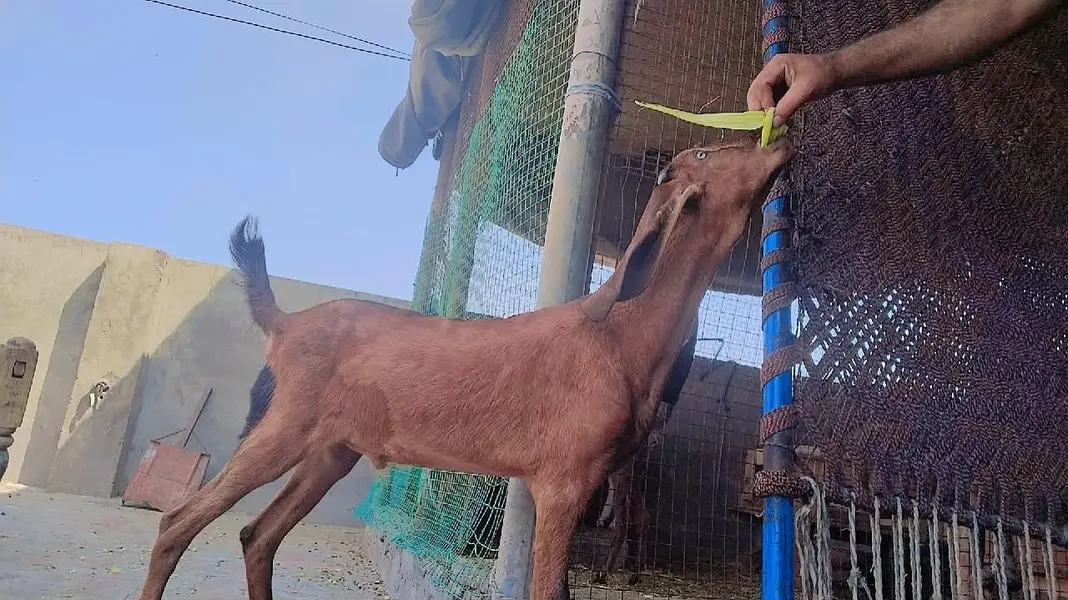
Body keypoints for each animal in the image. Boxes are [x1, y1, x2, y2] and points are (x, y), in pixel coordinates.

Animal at [592, 318, 698, 586]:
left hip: (626, 479)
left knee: (625, 523)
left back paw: (604, 572)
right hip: (635, 480)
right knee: (642, 520)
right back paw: (635, 574)